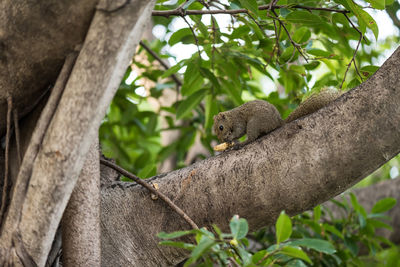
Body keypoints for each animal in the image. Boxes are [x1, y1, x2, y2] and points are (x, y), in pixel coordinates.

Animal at [212, 88, 340, 151]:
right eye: (215, 130)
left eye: (221, 127)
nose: (222, 139)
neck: (231, 117)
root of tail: (278, 122)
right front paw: (229, 142)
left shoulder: (239, 121)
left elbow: (239, 131)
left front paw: (231, 138)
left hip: (254, 123)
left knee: (252, 137)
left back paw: (242, 144)